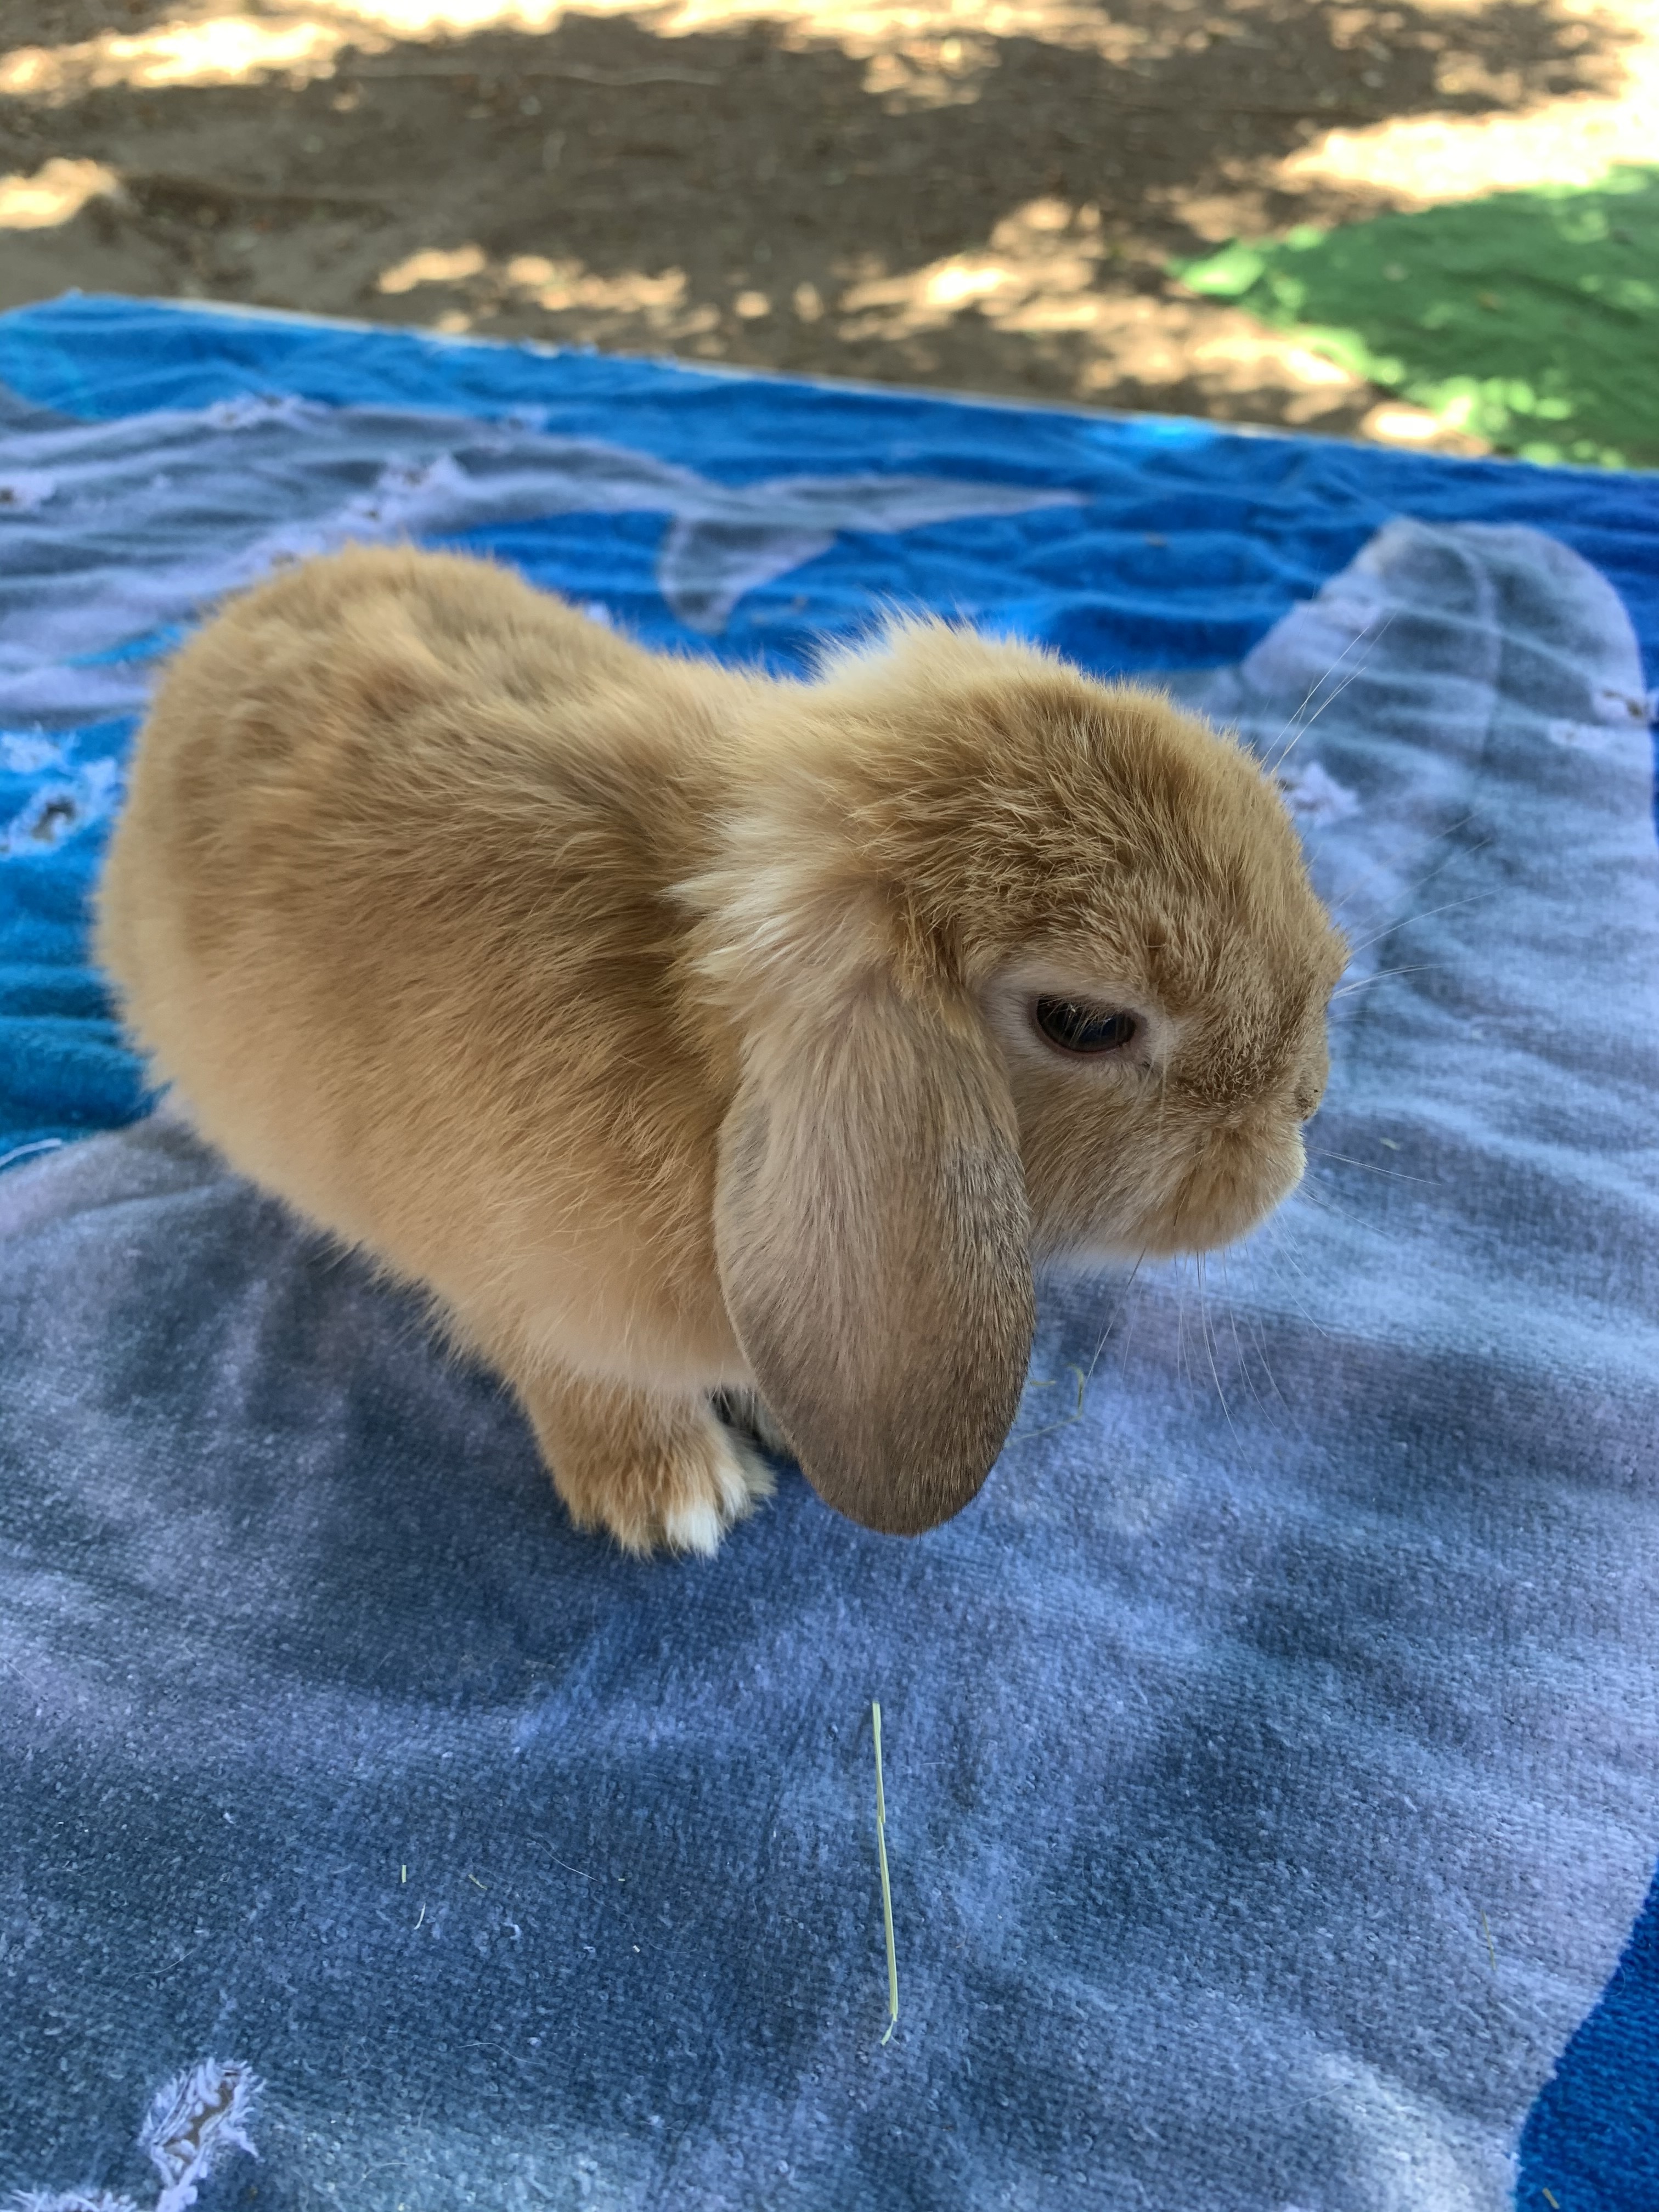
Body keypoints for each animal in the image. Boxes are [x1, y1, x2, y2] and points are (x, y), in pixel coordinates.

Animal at [97, 544, 1353, 1557]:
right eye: (1084, 1024)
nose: (1301, 1109)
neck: (694, 1046)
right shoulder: (521, 1295)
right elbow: (576, 1378)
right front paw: (678, 1500)